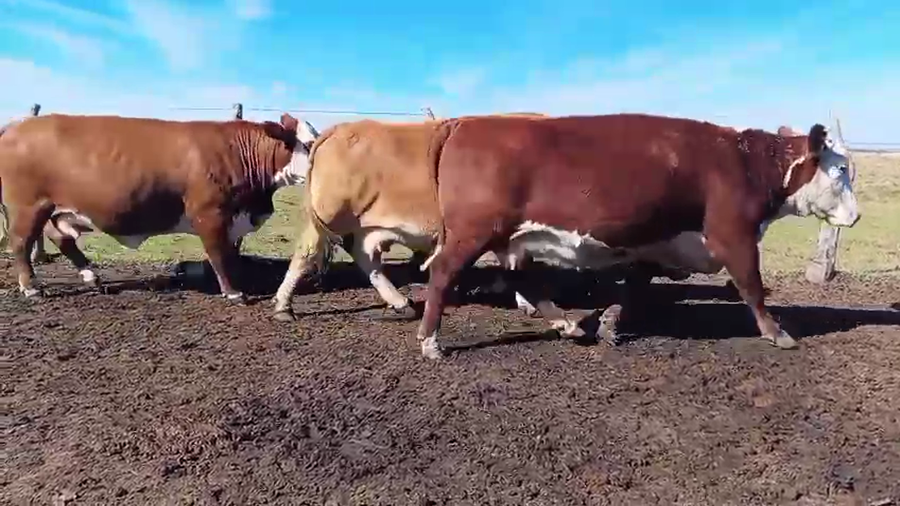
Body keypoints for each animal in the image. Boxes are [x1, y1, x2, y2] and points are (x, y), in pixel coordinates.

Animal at [0, 112, 318, 301]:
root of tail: (15, 126)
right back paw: (31, 287)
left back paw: (91, 276)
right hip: (29, 206)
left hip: (54, 208)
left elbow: (230, 254)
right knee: (20, 242)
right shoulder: (209, 214)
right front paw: (233, 292)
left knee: (61, 238)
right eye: (309, 144)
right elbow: (219, 255)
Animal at [413, 113, 860, 359]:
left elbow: (633, 286)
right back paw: (430, 342)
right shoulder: (734, 236)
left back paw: (567, 324)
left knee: (522, 278)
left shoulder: (654, 241)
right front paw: (777, 332)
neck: (742, 160)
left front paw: (610, 325)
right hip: (472, 233)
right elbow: (752, 286)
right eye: (841, 170)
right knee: (443, 274)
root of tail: (462, 123)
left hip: (506, 236)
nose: (856, 216)